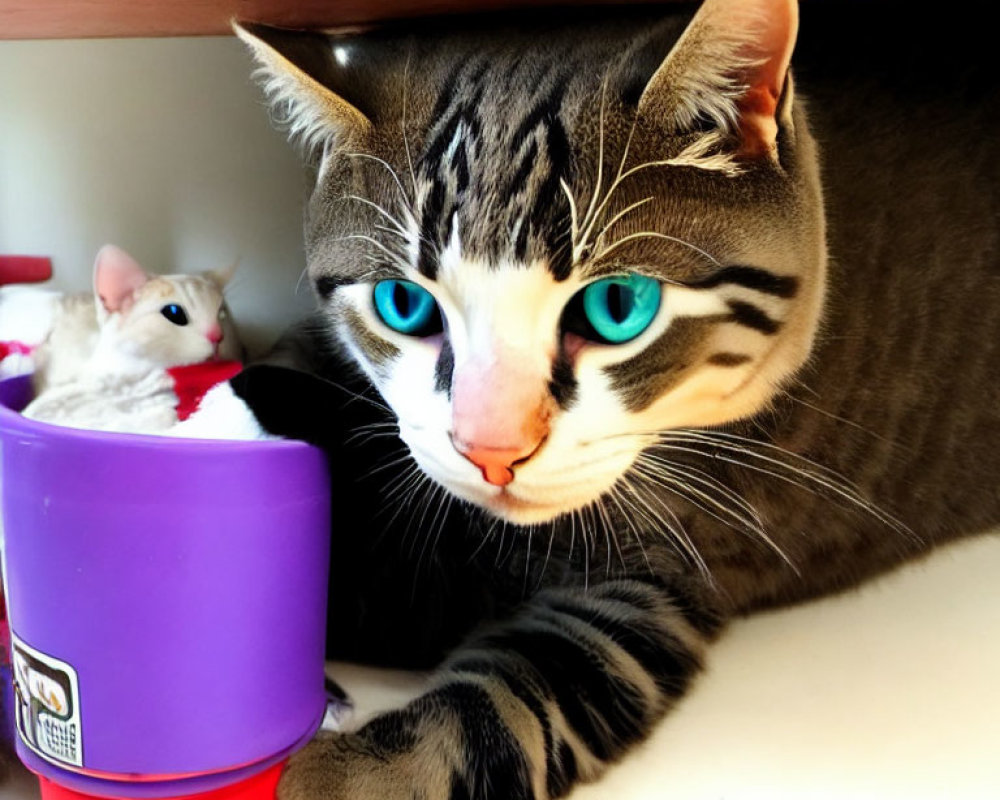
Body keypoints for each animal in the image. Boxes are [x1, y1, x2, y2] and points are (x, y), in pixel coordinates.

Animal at [232, 0, 992, 796]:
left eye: (617, 307)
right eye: (404, 304)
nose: (491, 450)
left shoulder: (675, 562)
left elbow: (520, 690)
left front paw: (344, 772)